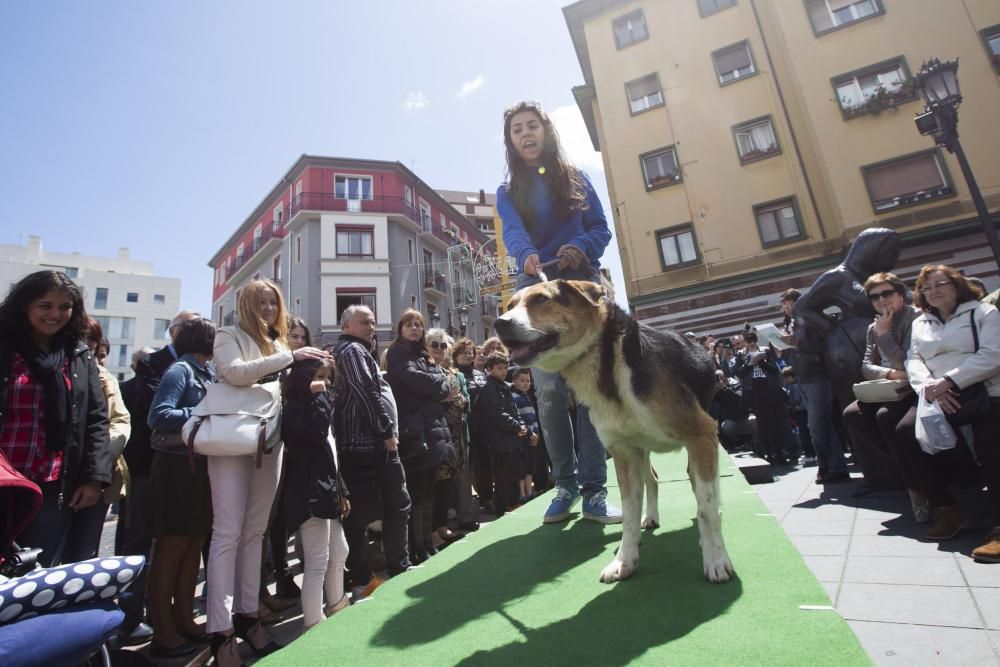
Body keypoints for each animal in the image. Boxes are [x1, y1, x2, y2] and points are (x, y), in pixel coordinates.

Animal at [496, 280, 732, 580]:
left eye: (540, 300)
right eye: (510, 305)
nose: (499, 323)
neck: (610, 362)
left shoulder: (701, 435)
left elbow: (706, 508)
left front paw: (716, 559)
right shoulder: (624, 452)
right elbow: (629, 514)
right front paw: (624, 560)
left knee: (699, 486)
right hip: (642, 448)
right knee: (653, 479)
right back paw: (650, 517)